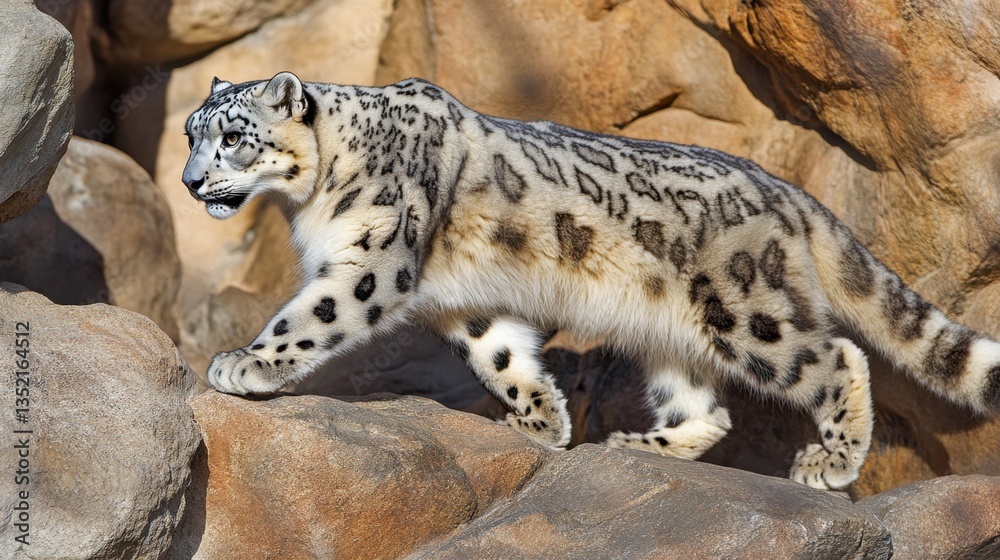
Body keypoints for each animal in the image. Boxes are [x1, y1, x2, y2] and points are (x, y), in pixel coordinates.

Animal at [182, 72, 1000, 490]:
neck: (314, 193)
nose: (189, 182)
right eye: (191, 132)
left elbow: (314, 314)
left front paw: (244, 362)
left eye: (232, 135)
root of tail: (786, 190)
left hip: (747, 312)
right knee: (708, 406)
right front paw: (541, 420)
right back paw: (638, 446)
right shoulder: (463, 302)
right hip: (671, 333)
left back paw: (829, 461)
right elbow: (500, 352)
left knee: (835, 356)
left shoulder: (375, 260)